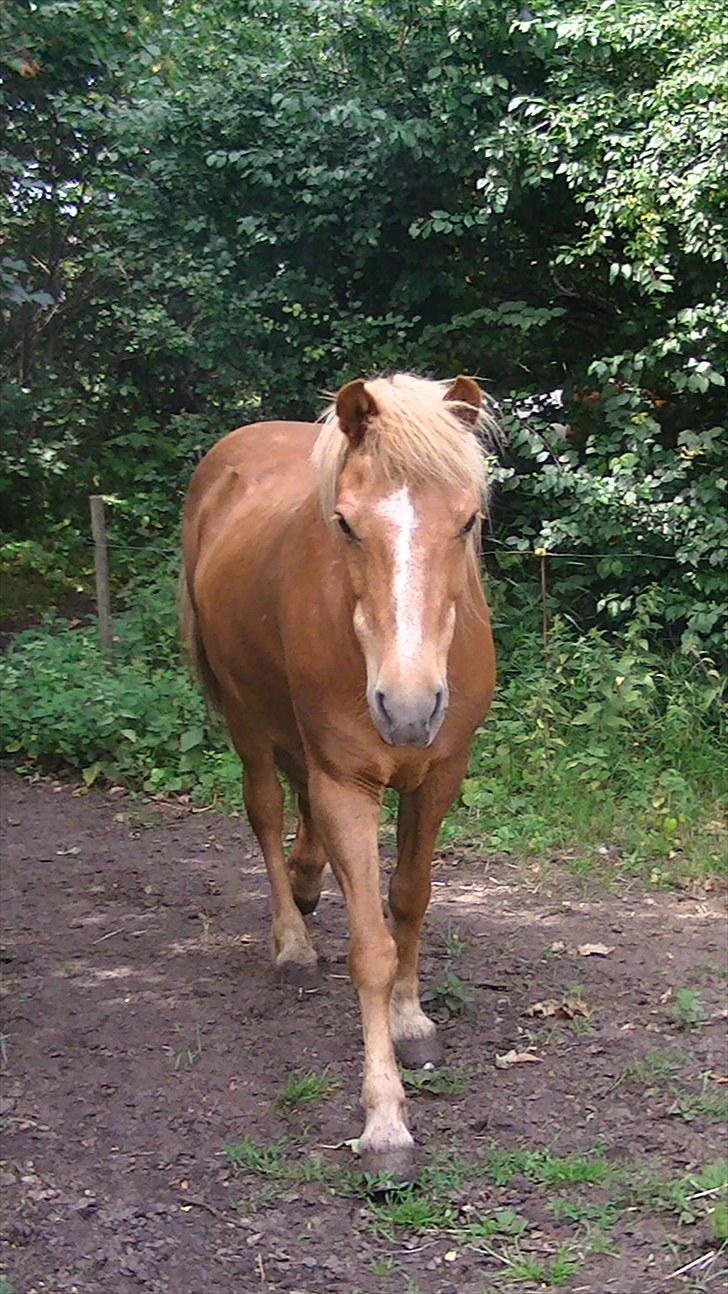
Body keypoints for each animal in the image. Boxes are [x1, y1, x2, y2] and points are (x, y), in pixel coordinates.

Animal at [179, 370, 499, 1180]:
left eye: (466, 520)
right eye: (348, 525)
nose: (409, 707)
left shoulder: (440, 774)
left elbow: (410, 899)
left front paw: (412, 1022)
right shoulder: (347, 783)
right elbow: (372, 949)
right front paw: (385, 1121)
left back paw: (307, 880)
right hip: (247, 718)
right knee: (266, 807)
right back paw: (292, 939)